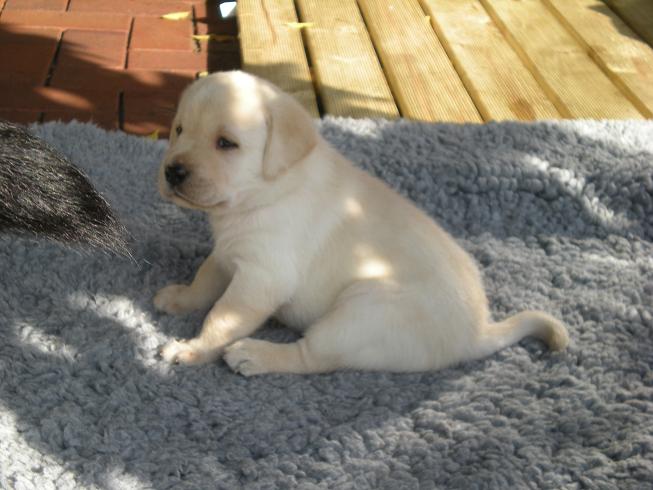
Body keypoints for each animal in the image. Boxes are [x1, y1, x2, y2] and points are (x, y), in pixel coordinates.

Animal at [154, 71, 569, 375]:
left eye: (226, 143)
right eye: (179, 130)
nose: (173, 171)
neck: (267, 191)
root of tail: (479, 331)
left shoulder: (261, 276)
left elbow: (222, 317)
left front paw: (193, 350)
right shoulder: (228, 253)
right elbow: (205, 281)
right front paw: (179, 298)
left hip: (361, 312)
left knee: (313, 357)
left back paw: (256, 356)